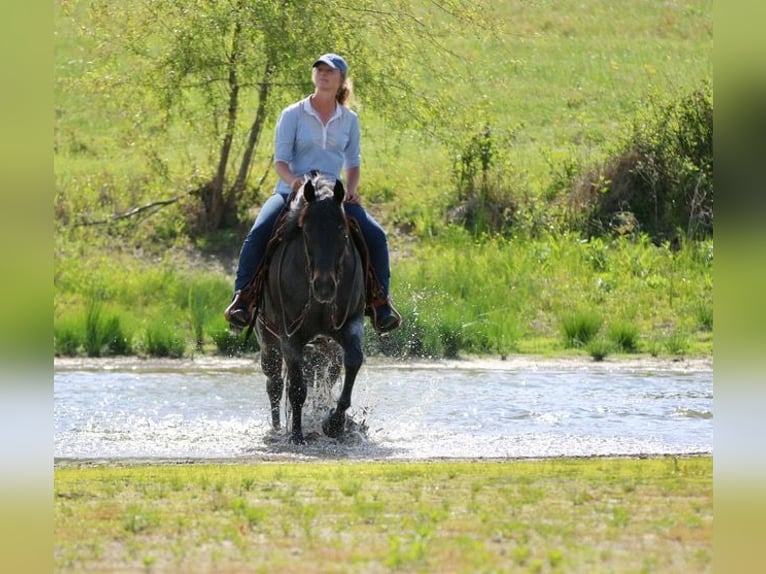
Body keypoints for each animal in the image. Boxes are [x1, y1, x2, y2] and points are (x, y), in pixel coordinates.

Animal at [255, 174, 365, 444]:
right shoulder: (290, 338)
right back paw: (277, 429)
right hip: (268, 340)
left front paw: (334, 423)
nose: (324, 286)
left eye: (342, 230)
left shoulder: (349, 326)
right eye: (306, 230)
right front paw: (296, 435)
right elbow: (296, 389)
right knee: (274, 383)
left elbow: (352, 363)